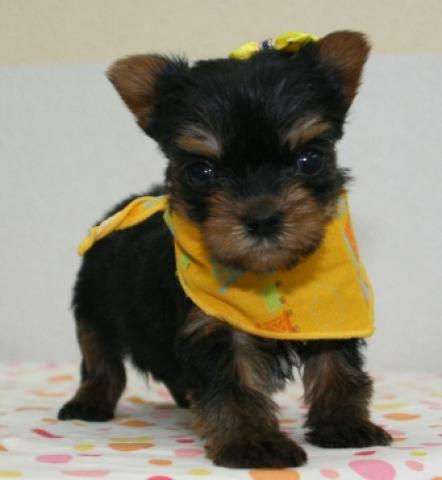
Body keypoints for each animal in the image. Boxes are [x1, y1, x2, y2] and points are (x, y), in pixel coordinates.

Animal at [58, 30, 392, 468]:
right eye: (202, 171)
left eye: (310, 159)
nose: (263, 218)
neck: (271, 280)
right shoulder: (213, 327)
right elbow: (233, 385)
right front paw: (254, 443)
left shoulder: (334, 315)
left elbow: (337, 367)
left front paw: (344, 424)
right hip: (94, 300)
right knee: (99, 355)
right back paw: (91, 400)